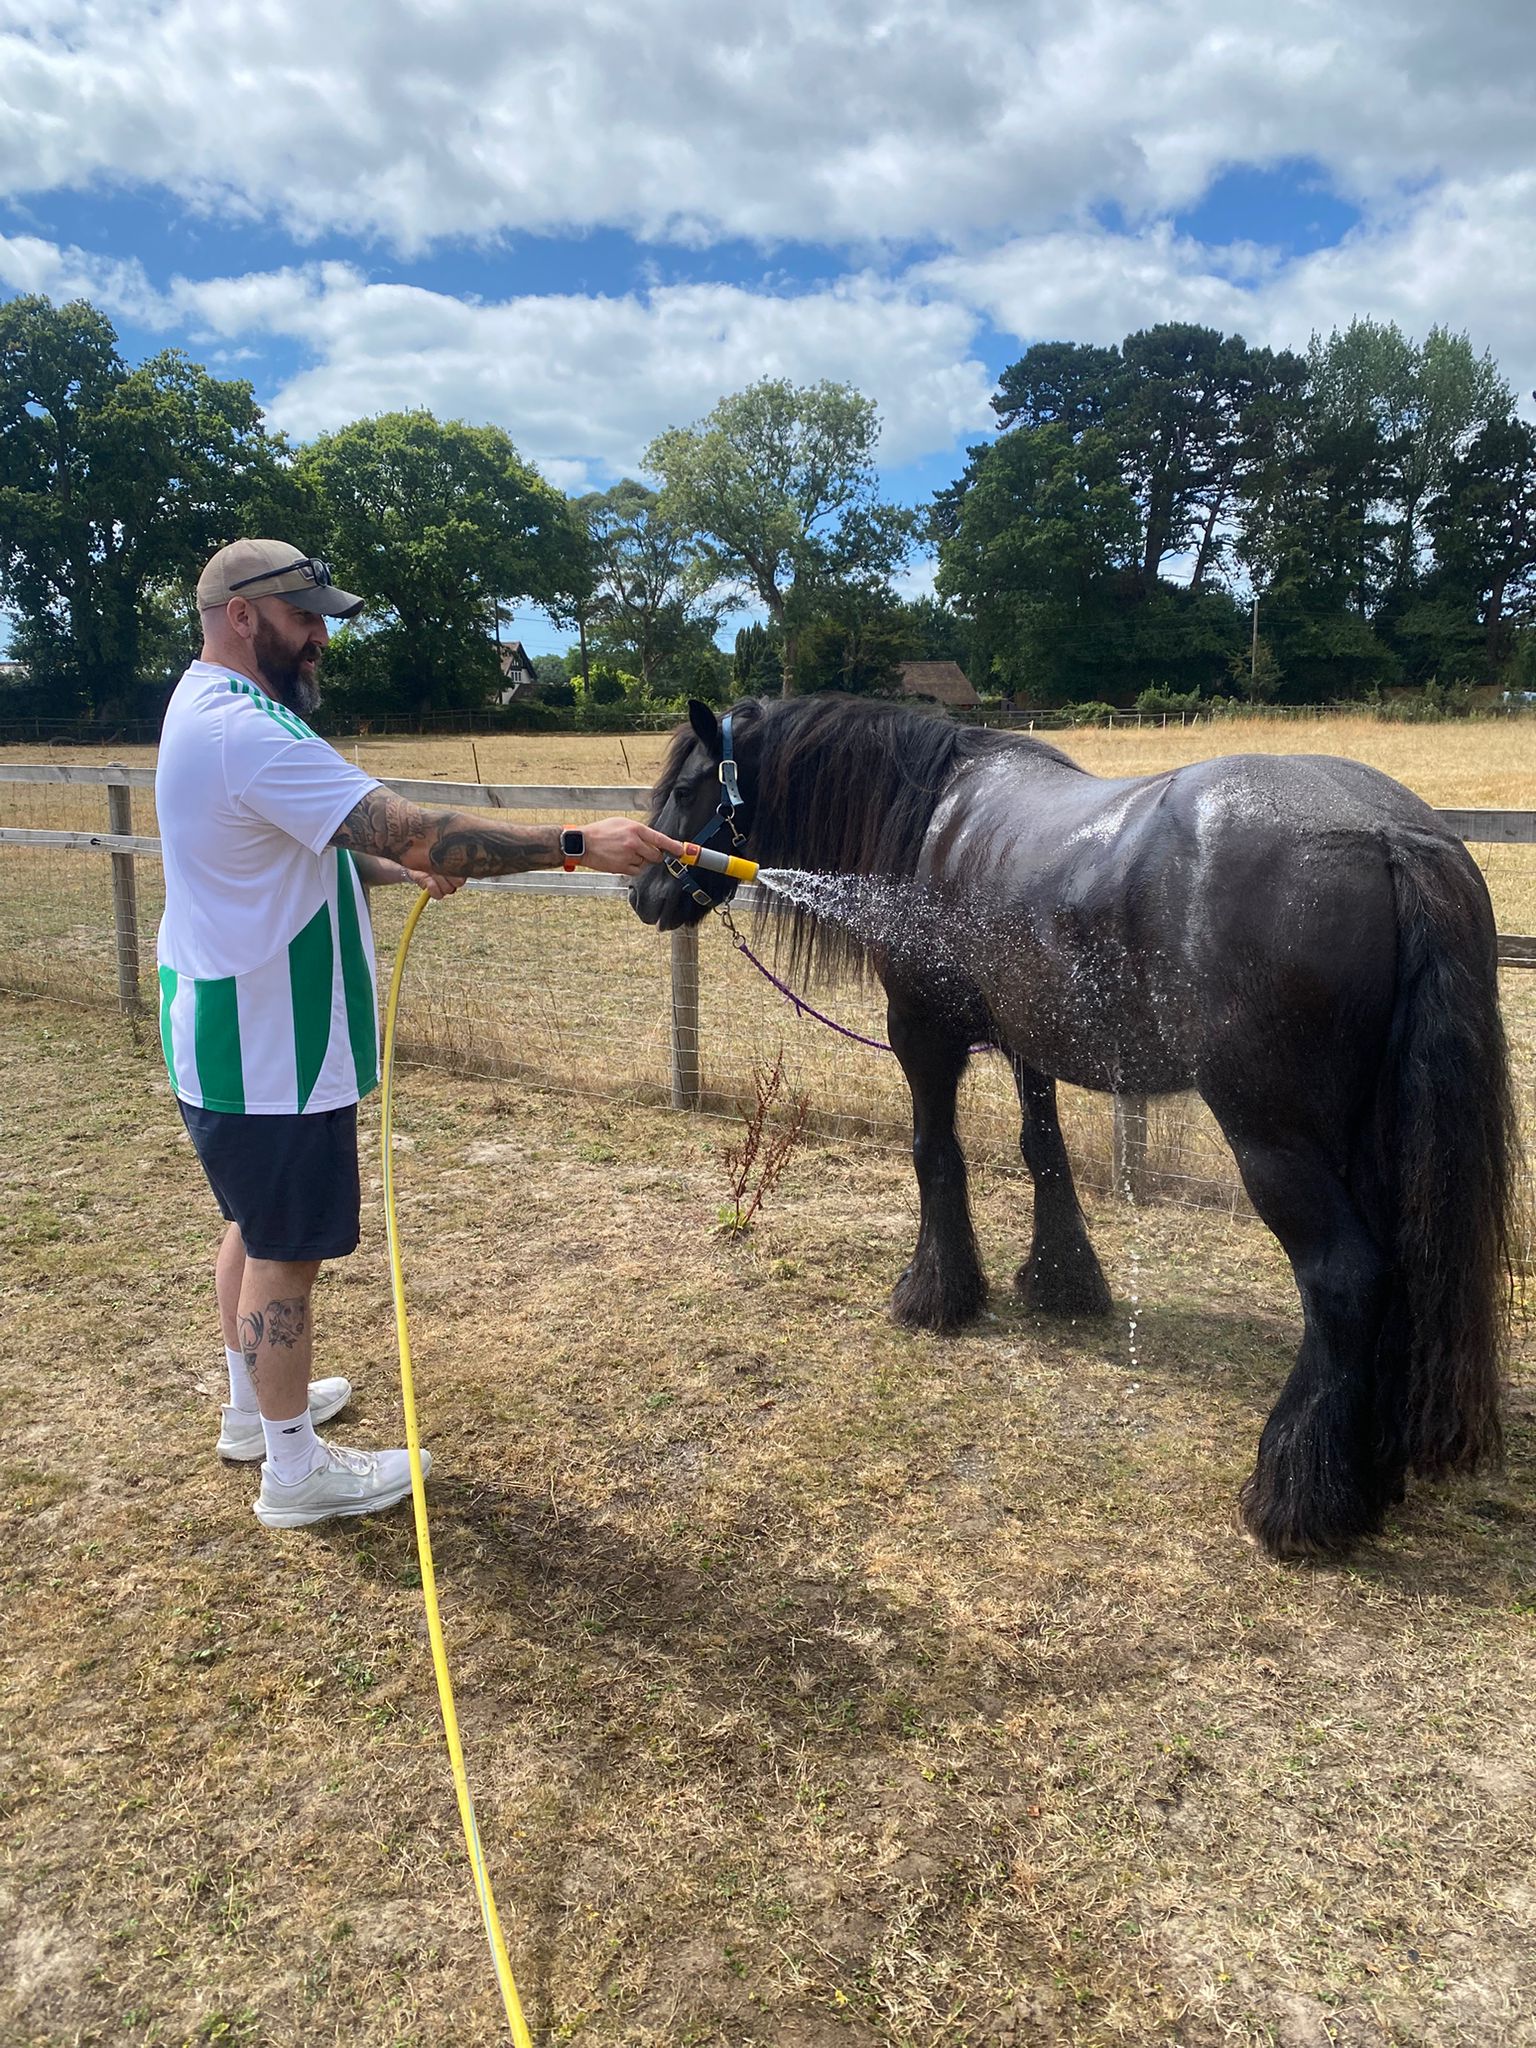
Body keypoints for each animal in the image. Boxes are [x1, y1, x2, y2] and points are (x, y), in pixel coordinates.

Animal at [629, 694, 1517, 1561]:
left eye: (688, 787)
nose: (642, 892)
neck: (935, 817)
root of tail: (1390, 835)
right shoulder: (1031, 1036)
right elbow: (1043, 1153)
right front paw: (1062, 1280)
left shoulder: (921, 1030)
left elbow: (935, 1154)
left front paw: (935, 1293)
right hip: (1373, 1140)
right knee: (1400, 1268)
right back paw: (1371, 1474)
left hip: (1274, 1138)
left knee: (1344, 1277)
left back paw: (1298, 1500)